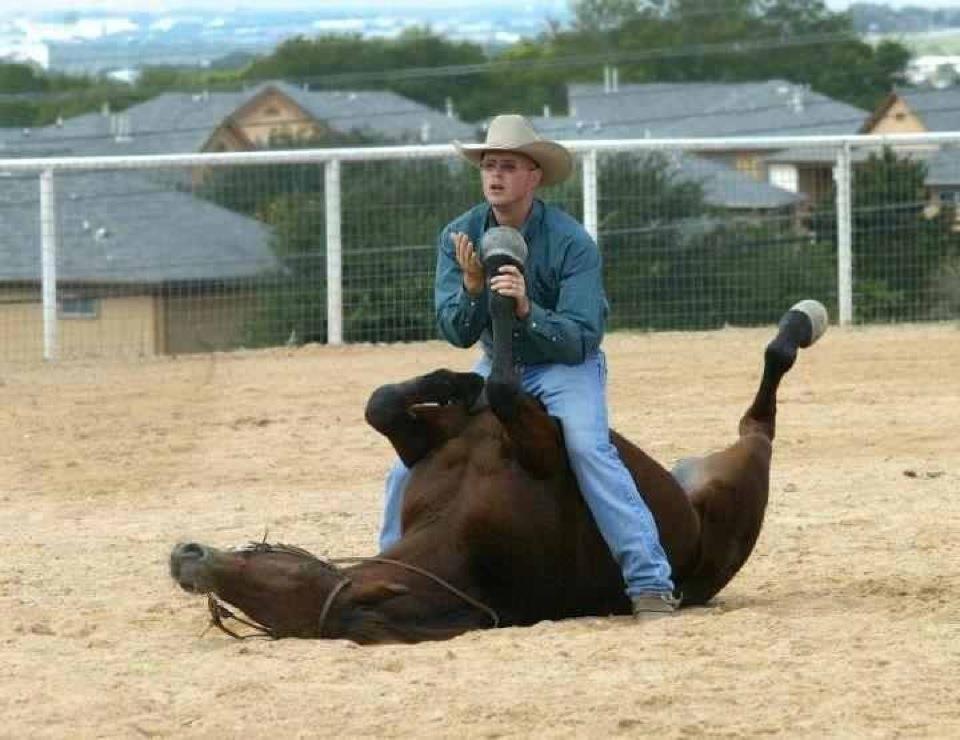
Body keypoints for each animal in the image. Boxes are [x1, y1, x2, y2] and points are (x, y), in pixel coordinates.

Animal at [169, 230, 828, 640]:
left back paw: (801, 318)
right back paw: (799, 325)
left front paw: (459, 377)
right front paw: (466, 376)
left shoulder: (458, 436)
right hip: (742, 474)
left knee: (763, 401)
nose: (185, 561)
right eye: (256, 609)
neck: (464, 529)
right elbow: (481, 392)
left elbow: (397, 402)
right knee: (760, 421)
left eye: (276, 572)